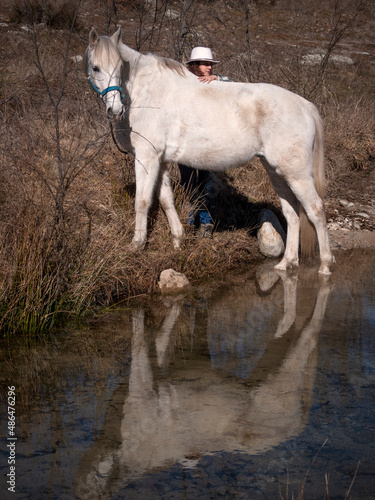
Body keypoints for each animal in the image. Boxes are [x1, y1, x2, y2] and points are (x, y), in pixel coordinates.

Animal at [85, 26, 334, 276]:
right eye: (95, 67)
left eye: (120, 67)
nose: (115, 110)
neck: (145, 93)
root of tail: (305, 105)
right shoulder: (161, 160)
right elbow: (166, 200)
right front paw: (178, 241)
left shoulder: (147, 157)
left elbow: (143, 201)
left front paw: (136, 246)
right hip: (276, 171)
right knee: (292, 213)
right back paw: (286, 262)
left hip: (297, 174)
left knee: (315, 209)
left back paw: (324, 265)